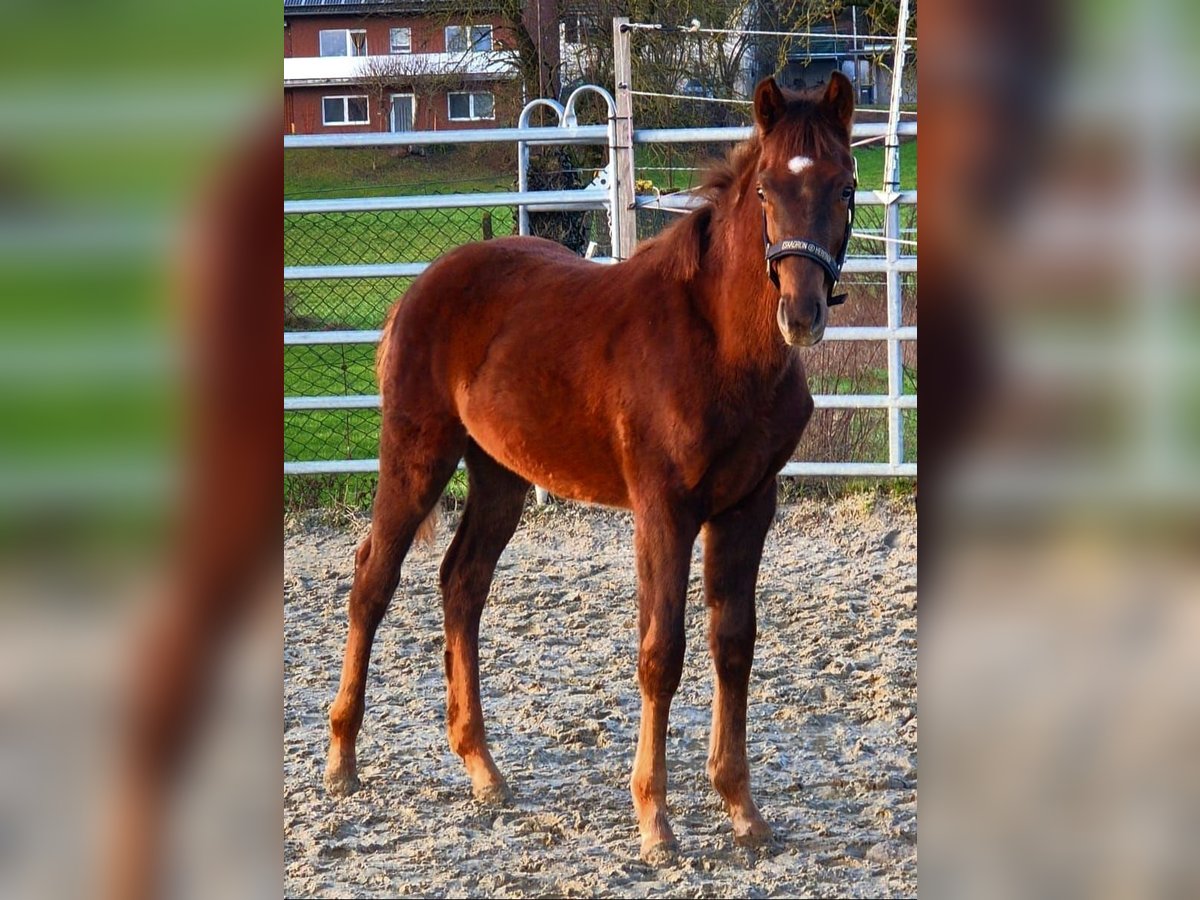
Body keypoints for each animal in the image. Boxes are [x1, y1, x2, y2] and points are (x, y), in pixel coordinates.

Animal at [324, 74, 859, 864]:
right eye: (766, 189)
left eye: (845, 186)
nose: (801, 313)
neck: (719, 343)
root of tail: (423, 286)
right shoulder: (665, 509)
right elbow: (661, 652)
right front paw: (655, 822)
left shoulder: (748, 507)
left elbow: (734, 644)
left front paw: (743, 810)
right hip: (417, 454)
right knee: (373, 580)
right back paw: (341, 760)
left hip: (499, 474)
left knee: (463, 584)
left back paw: (483, 769)